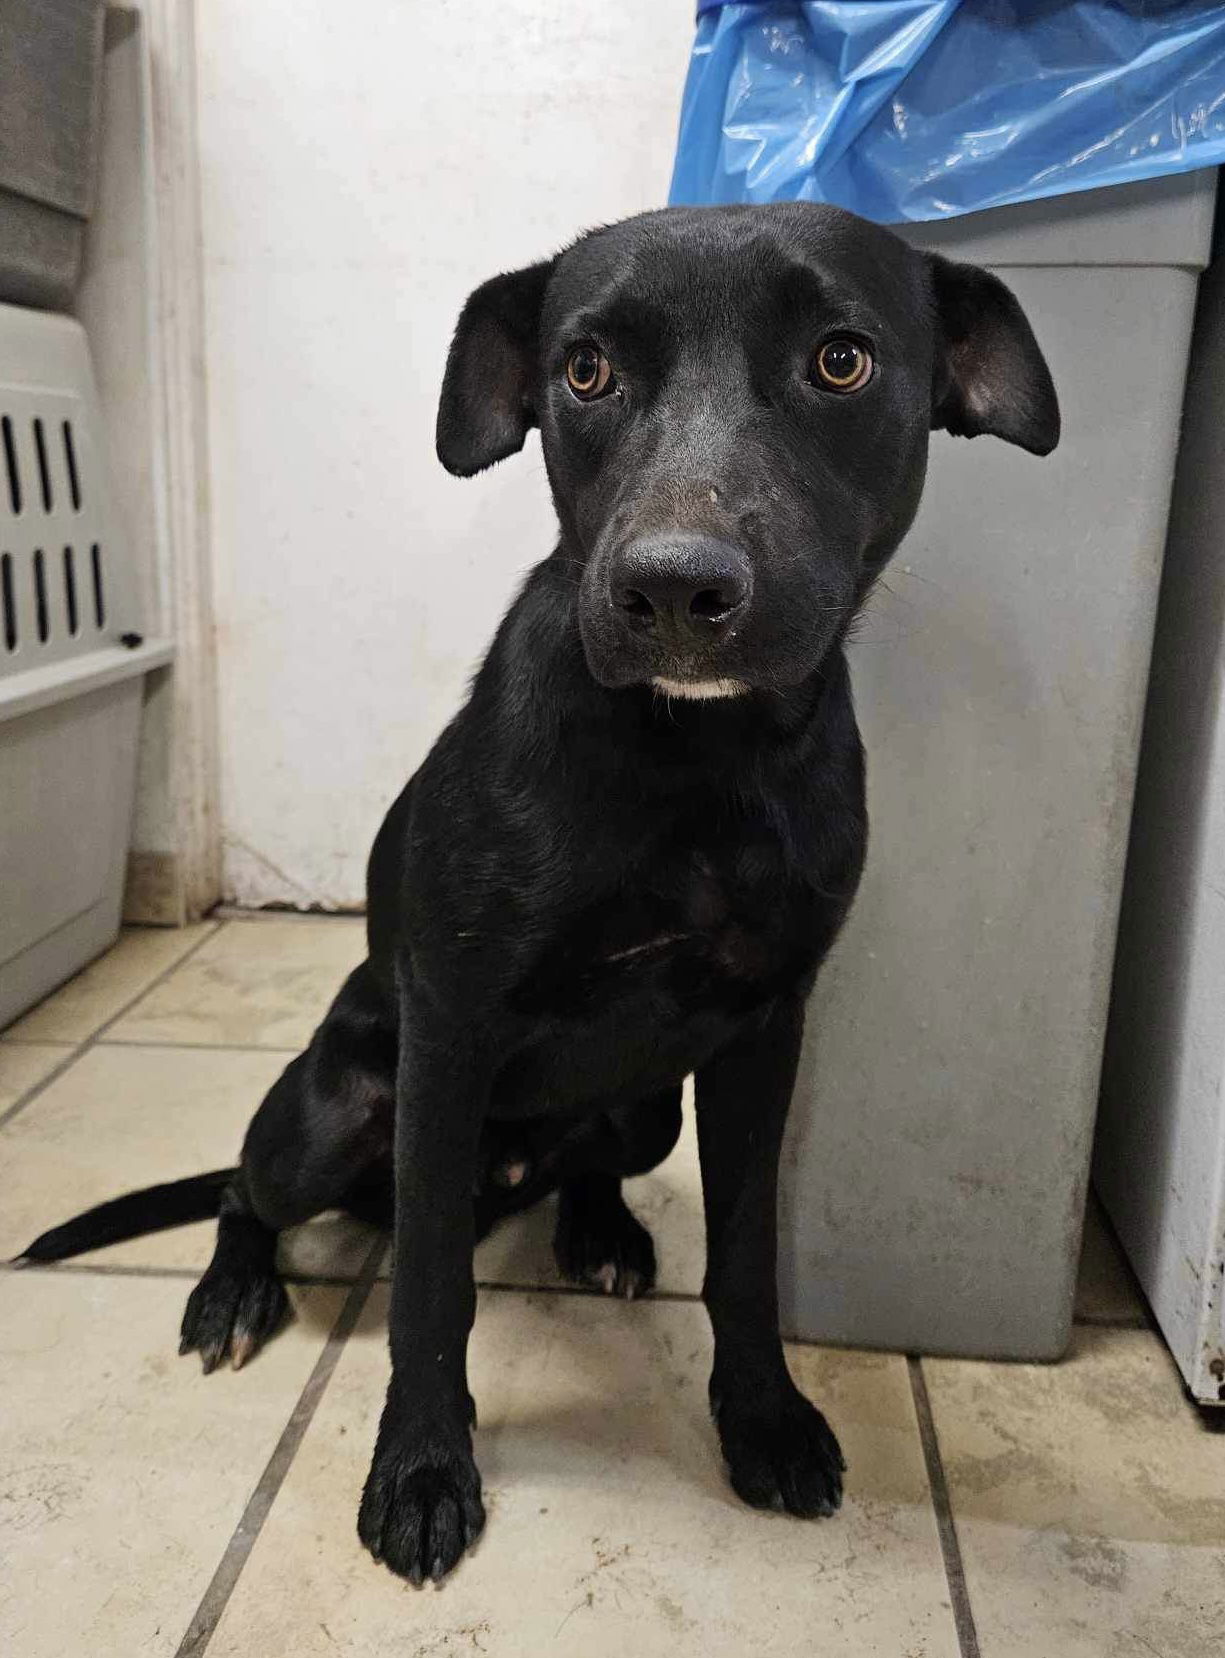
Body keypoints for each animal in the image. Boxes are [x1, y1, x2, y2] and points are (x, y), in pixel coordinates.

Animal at [19, 200, 1060, 1585]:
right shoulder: (451, 1035)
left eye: (841, 359)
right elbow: (429, 1290)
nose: (673, 589)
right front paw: (419, 1466)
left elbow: (745, 1255)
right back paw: (234, 1288)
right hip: (337, 1109)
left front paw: (762, 1416)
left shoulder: (760, 1035)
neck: (697, 758)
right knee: (249, 1186)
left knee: (583, 1165)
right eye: (585, 368)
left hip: (644, 1108)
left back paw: (597, 1230)